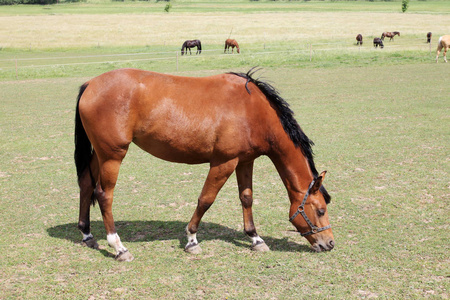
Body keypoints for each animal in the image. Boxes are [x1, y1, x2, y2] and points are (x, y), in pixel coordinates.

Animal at [74, 68, 334, 260]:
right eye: (321, 210)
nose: (329, 243)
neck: (253, 110)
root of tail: (90, 84)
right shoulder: (224, 162)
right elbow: (206, 199)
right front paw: (191, 239)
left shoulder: (244, 161)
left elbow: (246, 198)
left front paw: (255, 238)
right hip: (112, 156)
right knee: (104, 195)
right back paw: (119, 247)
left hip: (100, 154)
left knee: (86, 184)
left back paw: (87, 234)